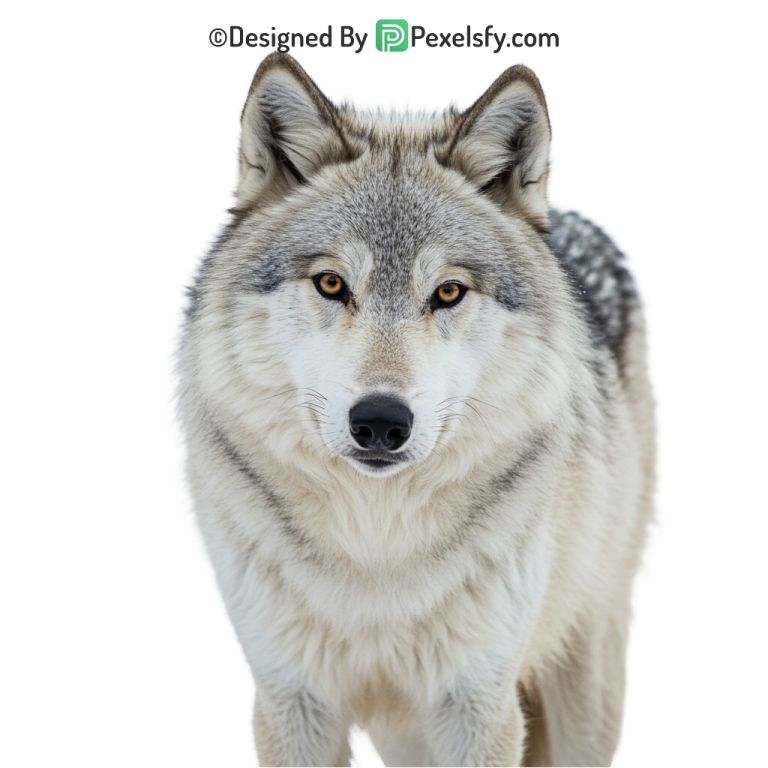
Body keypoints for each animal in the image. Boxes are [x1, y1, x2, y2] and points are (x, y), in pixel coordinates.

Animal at [166, 50, 662, 768]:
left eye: (448, 292)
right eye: (332, 283)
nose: (380, 421)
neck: (378, 551)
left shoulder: (478, 705)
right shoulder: (292, 702)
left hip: (587, 680)